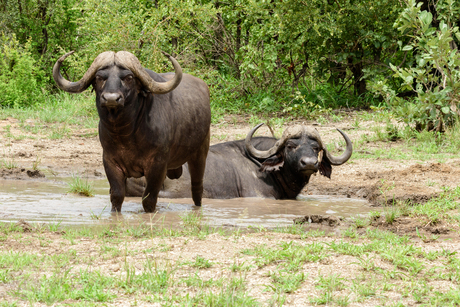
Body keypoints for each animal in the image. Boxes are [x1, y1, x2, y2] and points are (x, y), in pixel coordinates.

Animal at [53, 51, 210, 213]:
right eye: (99, 77)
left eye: (128, 78)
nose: (111, 98)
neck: (126, 134)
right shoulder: (110, 162)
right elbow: (116, 195)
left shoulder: (157, 165)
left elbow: (149, 200)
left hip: (200, 154)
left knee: (197, 189)